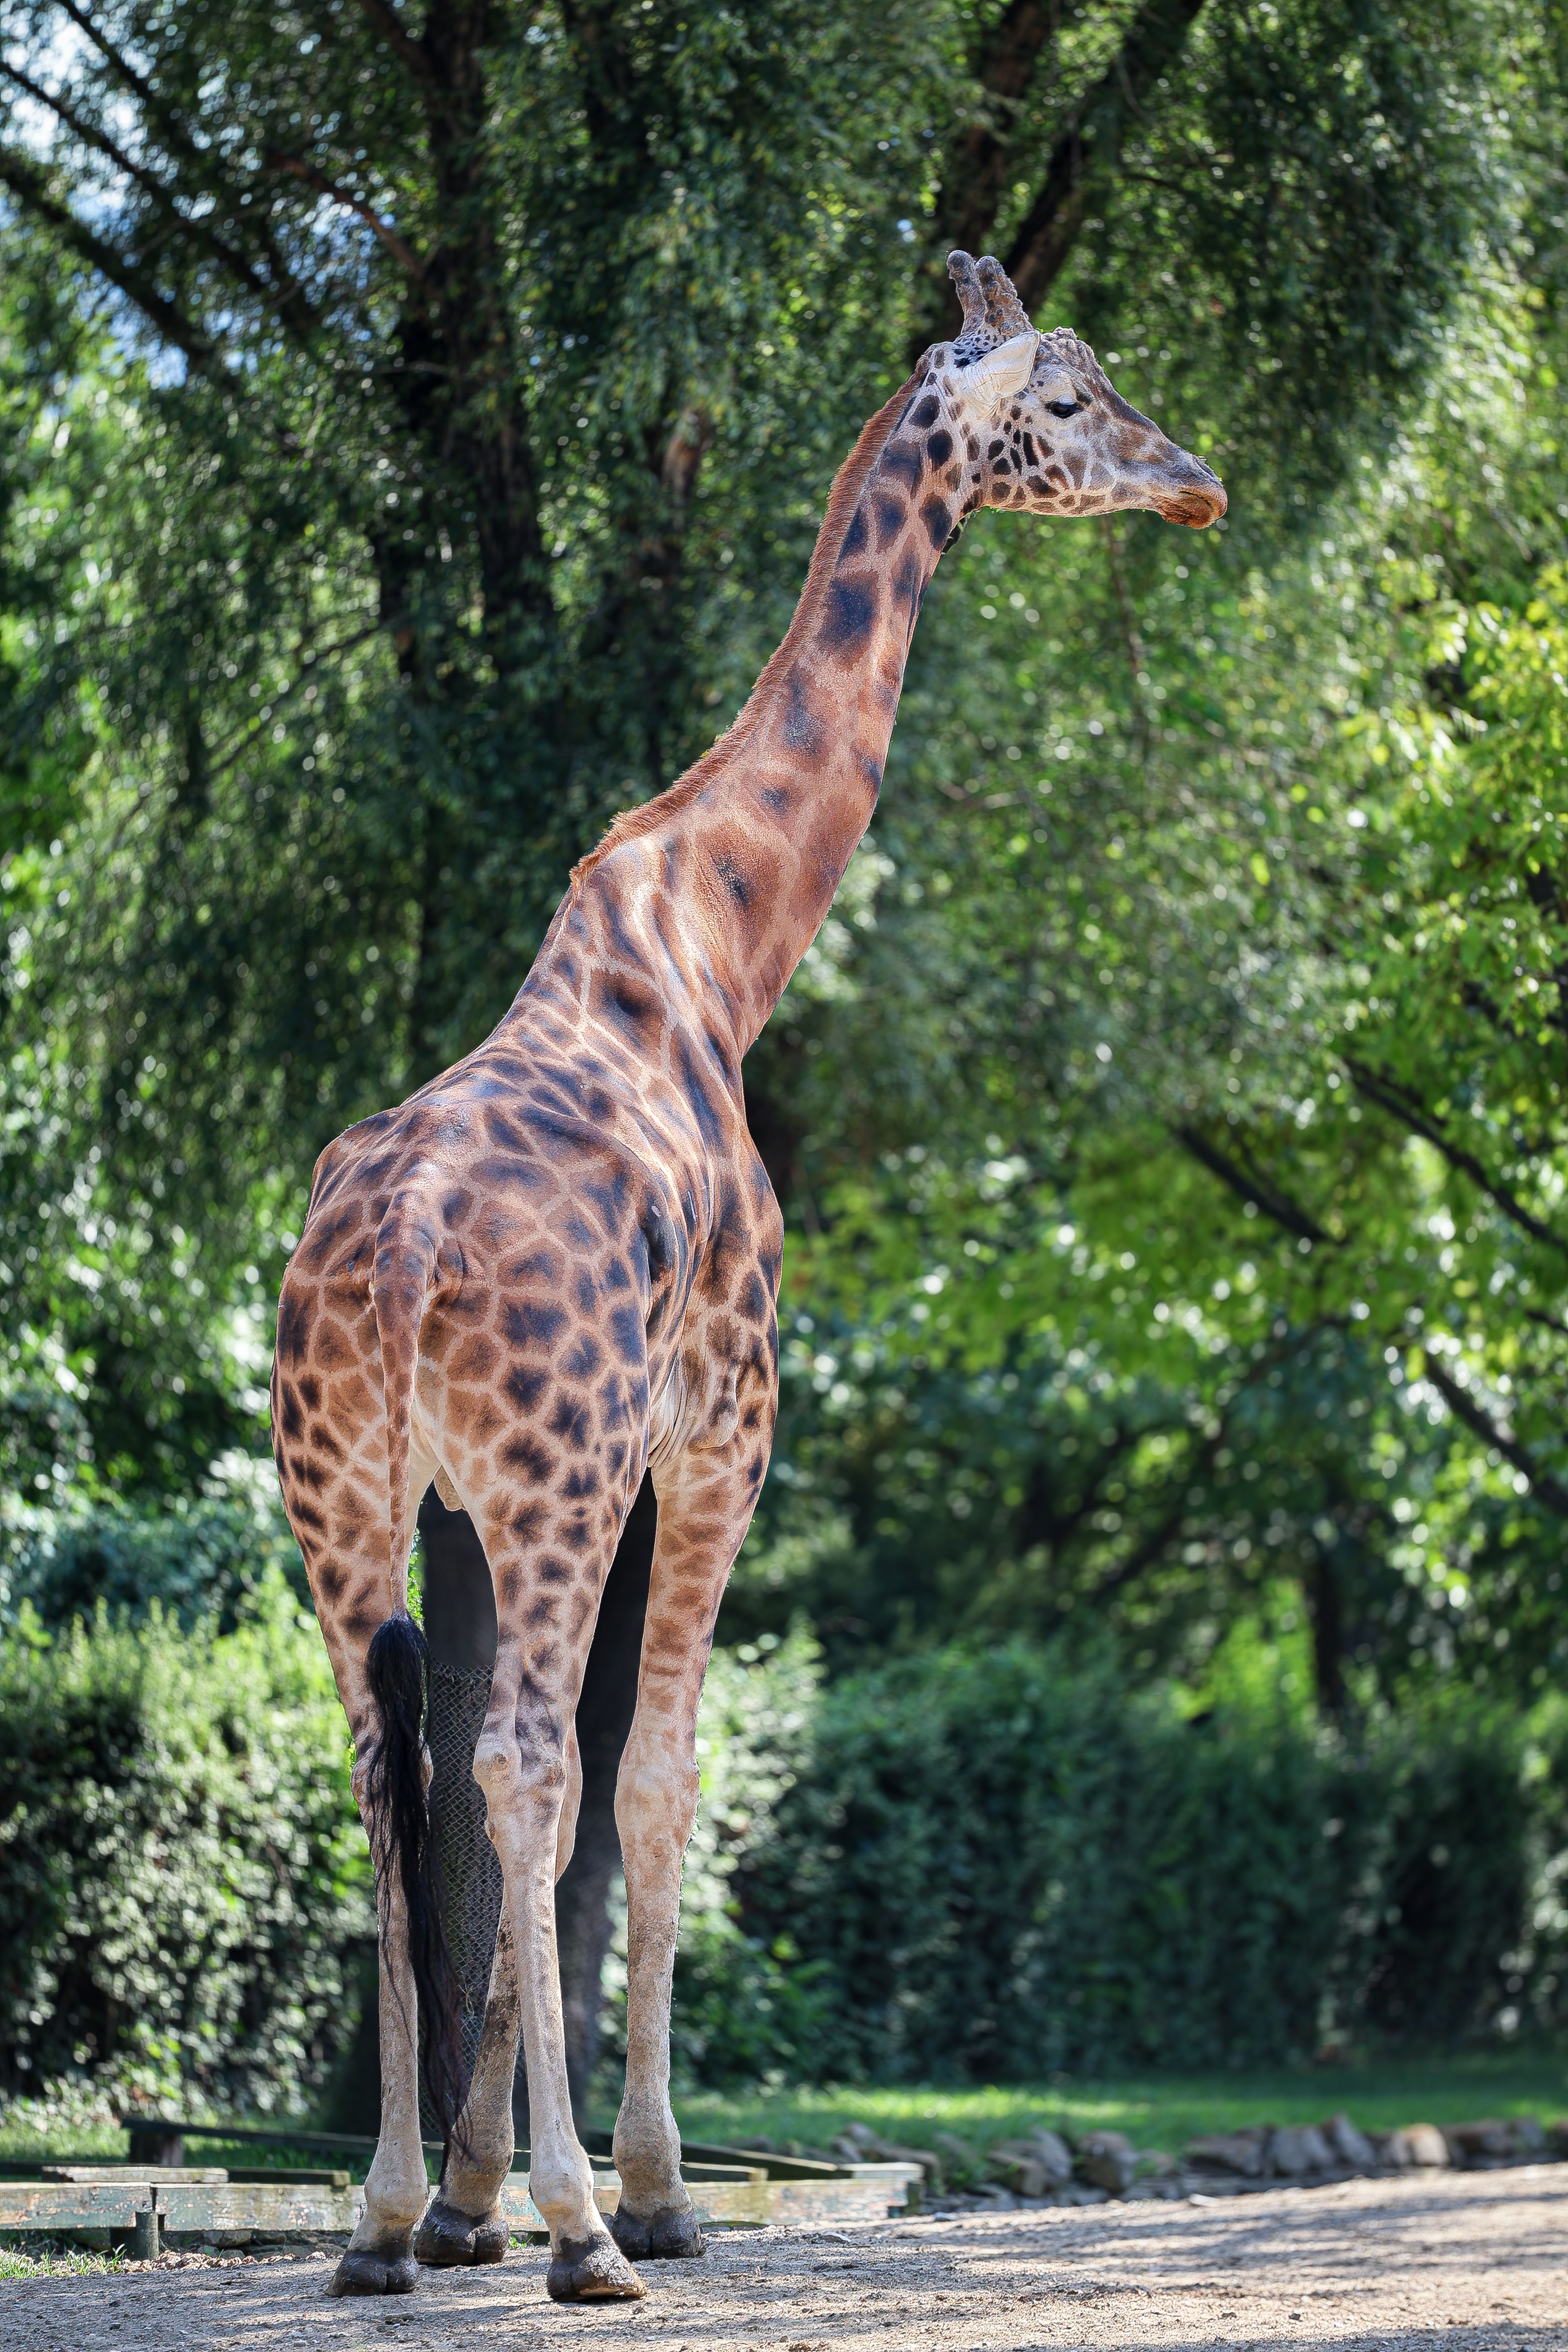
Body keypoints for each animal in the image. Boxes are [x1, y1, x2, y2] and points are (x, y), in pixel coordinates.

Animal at [270, 250, 1224, 2308]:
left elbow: (525, 1793)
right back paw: (582, 2235)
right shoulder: (716, 1440)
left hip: (343, 1492)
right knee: (528, 1763)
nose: (1191, 482)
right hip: (550, 1475)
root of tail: (398, 1242)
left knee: (392, 1768)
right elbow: (653, 1780)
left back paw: (377, 2222)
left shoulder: (476, 1498)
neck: (721, 946)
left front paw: (461, 2197)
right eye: (1067, 399)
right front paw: (640, 2188)